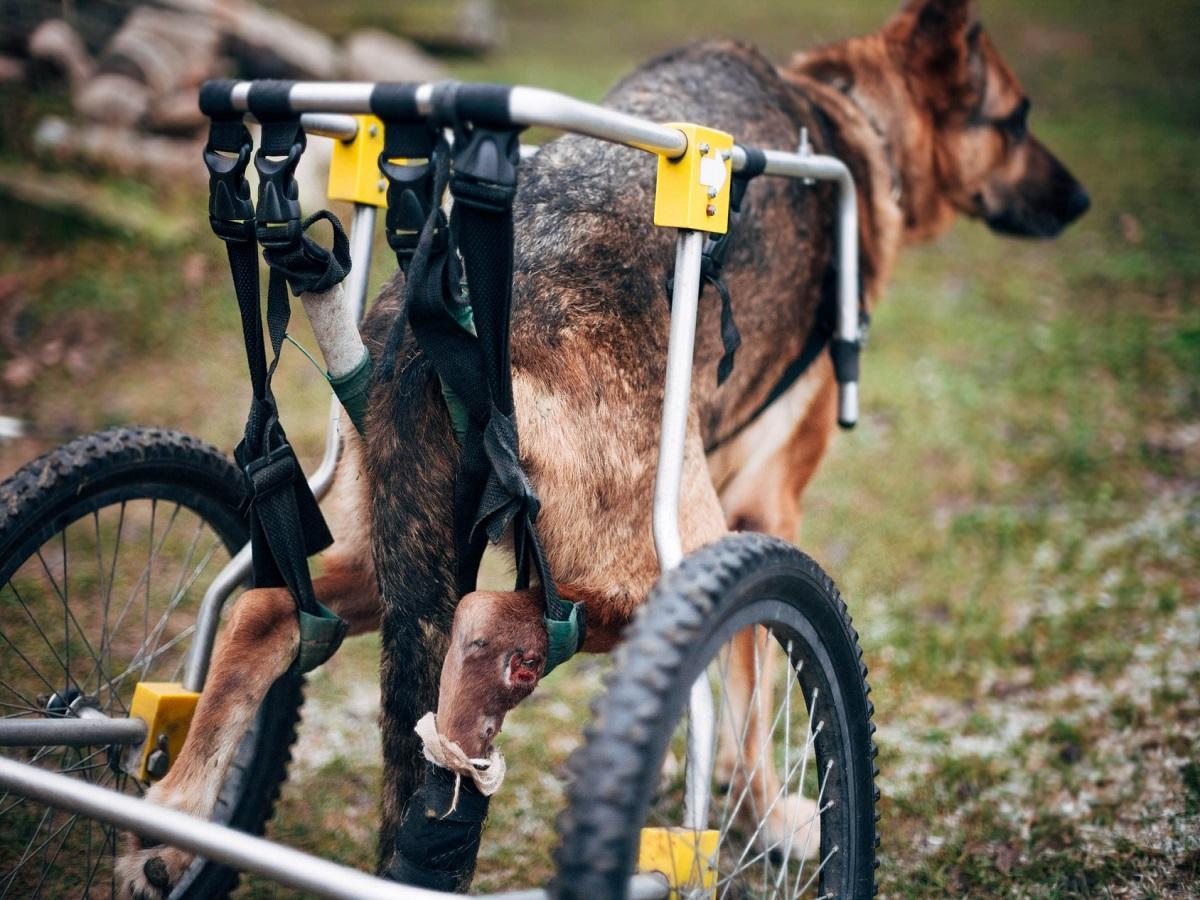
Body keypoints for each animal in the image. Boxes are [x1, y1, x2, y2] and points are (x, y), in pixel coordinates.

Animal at [119, 0, 1089, 897]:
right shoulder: (762, 507)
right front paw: (764, 813)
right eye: (1016, 120)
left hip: (407, 549)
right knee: (491, 625)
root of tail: (431, 324)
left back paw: (175, 824)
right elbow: (752, 683)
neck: (848, 109)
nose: (1080, 203)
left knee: (269, 608)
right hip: (659, 550)